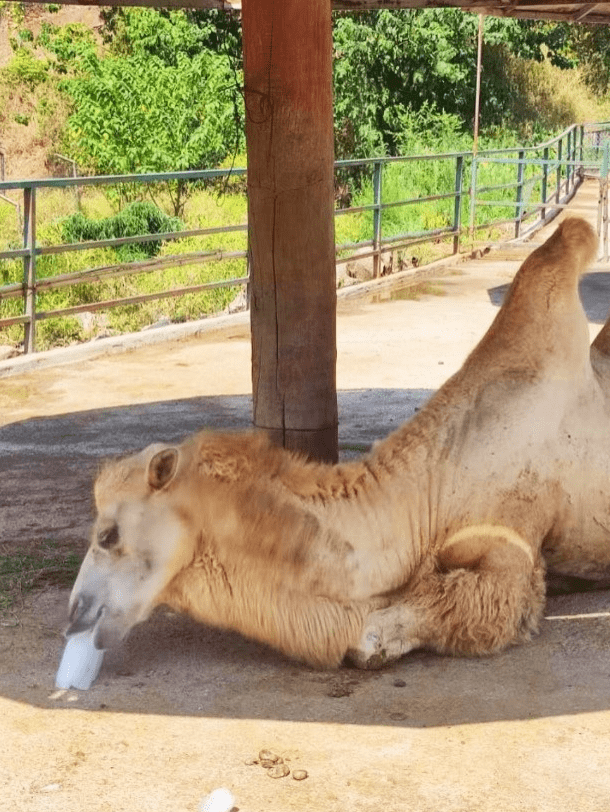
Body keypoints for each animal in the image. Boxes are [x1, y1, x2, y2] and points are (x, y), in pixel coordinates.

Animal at [63, 219, 610, 668]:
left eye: (108, 535)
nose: (74, 613)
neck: (434, 487)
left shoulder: (515, 535)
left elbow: (482, 604)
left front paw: (378, 638)